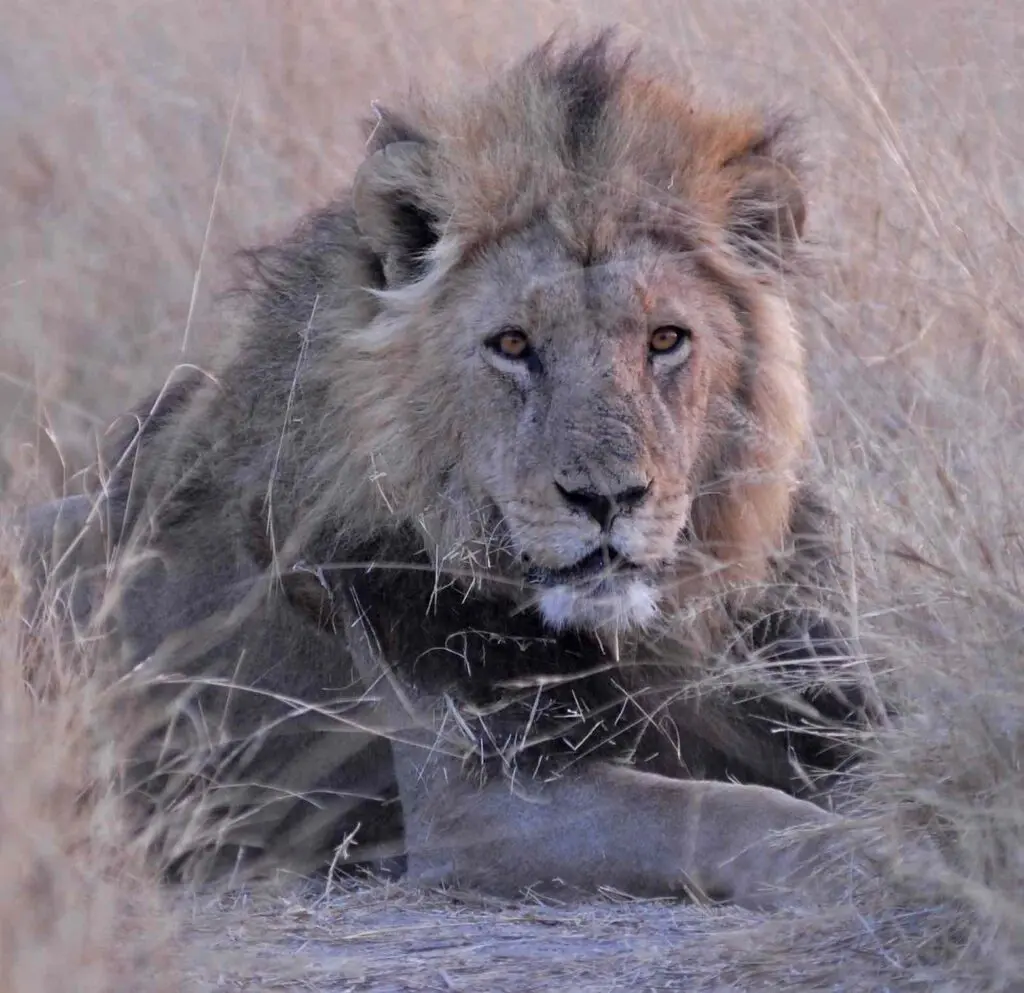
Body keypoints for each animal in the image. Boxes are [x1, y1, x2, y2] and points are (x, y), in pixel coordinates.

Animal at [16, 32, 886, 910]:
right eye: (512, 344)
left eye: (666, 339)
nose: (607, 499)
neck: (647, 636)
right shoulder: (472, 802)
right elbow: (716, 810)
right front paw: (857, 855)